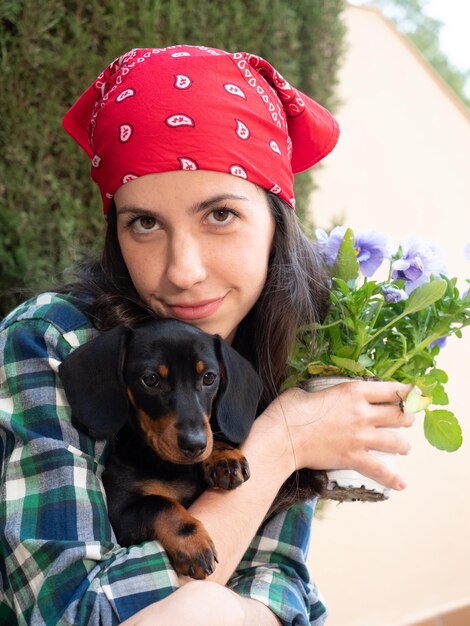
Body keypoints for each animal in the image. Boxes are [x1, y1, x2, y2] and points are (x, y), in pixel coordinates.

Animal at [58, 320, 262, 576]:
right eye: (151, 379)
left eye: (209, 377)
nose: (195, 444)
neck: (168, 465)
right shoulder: (119, 512)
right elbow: (160, 504)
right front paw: (193, 543)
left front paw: (223, 455)